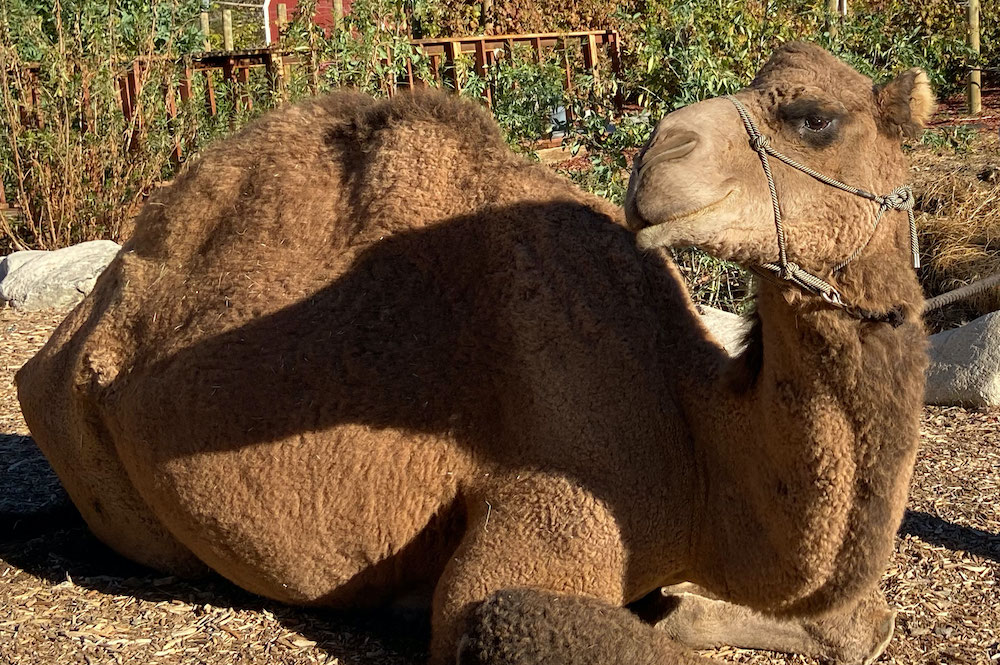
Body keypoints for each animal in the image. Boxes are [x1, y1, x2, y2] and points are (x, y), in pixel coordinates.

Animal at [15, 42, 932, 664]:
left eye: (814, 117)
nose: (658, 157)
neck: (696, 441)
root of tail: (69, 334)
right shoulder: (552, 497)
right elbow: (492, 608)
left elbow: (855, 620)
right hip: (90, 452)